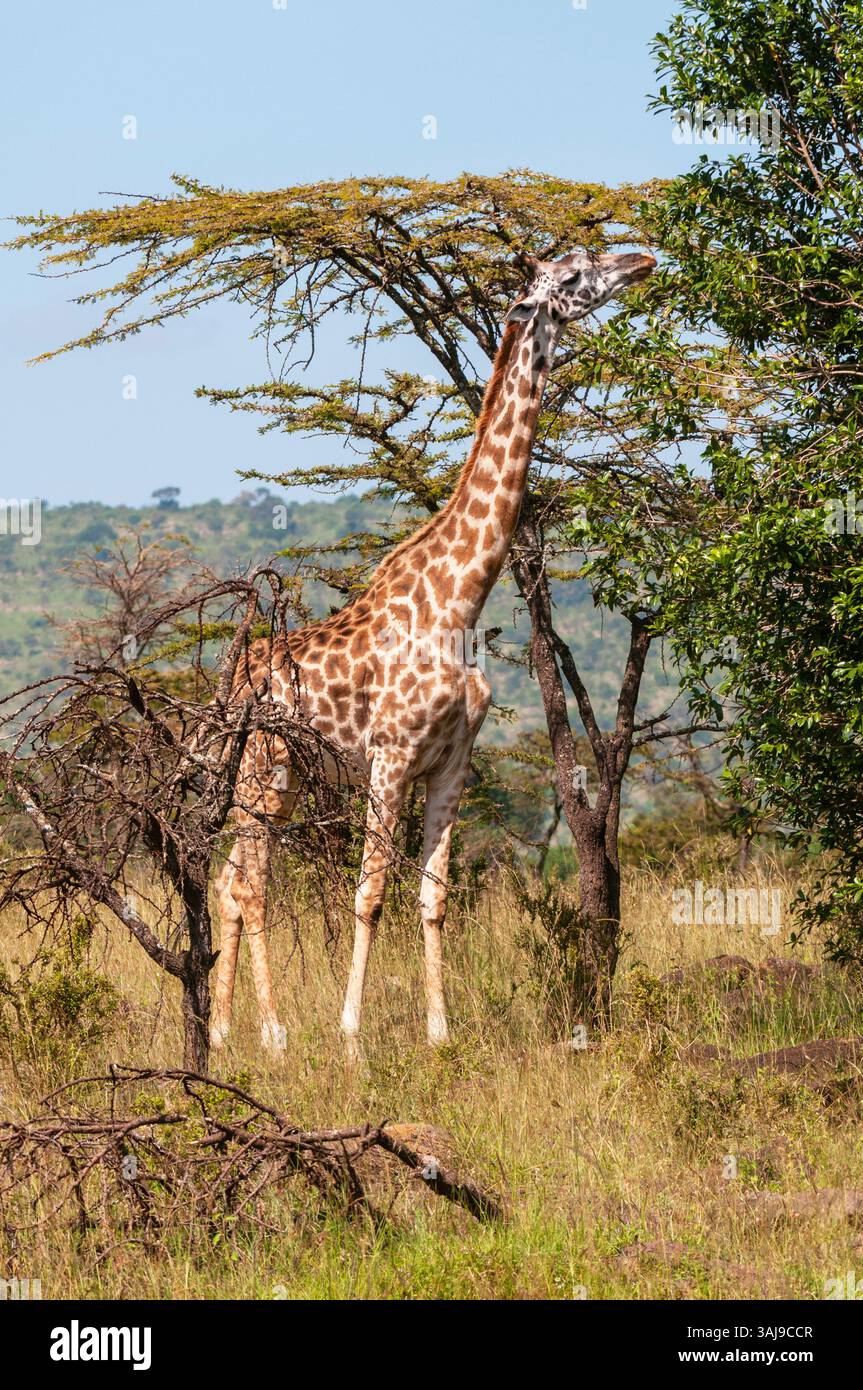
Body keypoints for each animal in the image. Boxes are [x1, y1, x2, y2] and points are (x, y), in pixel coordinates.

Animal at [209, 246, 656, 1059]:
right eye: (574, 275)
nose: (640, 258)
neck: (459, 599)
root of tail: (232, 679)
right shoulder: (389, 758)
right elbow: (370, 892)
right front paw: (353, 1040)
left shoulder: (451, 763)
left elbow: (433, 896)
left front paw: (441, 1036)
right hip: (265, 766)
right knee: (251, 883)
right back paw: (276, 1033)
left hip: (273, 778)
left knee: (229, 881)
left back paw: (226, 1034)